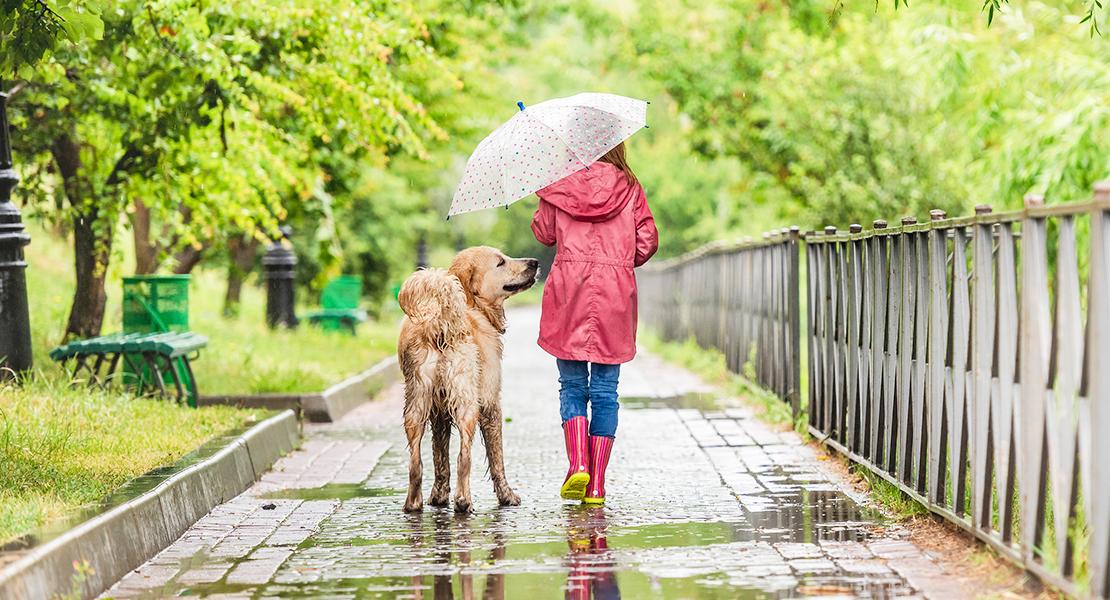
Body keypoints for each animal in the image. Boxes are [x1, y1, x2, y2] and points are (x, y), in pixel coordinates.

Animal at [397, 243, 539, 510]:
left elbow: (440, 456)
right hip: (467, 402)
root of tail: (440, 322)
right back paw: (463, 501)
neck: (473, 305)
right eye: (501, 262)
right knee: (464, 456)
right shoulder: (490, 402)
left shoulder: (439, 412)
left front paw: (438, 496)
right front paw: (507, 496)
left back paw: (414, 503)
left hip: (415, 404)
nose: (534, 262)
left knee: (416, 461)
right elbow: (496, 458)